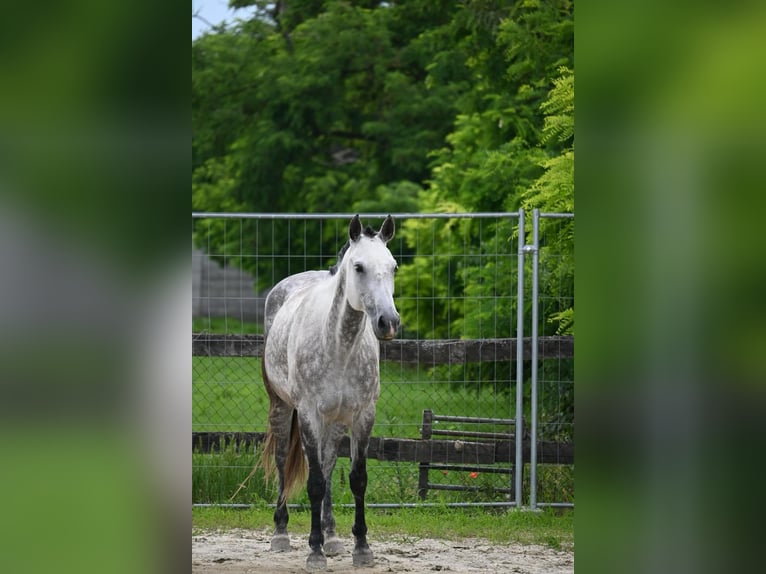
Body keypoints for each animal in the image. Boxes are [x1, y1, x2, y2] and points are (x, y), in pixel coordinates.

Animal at [260, 216, 400, 572]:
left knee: (327, 463)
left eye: (393, 266)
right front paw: (314, 551)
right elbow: (314, 482)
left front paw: (361, 548)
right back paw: (281, 533)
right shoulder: (309, 413)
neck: (339, 344)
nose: (389, 322)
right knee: (283, 460)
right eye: (359, 267)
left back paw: (332, 536)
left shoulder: (363, 415)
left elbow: (356, 478)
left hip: (334, 422)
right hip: (282, 407)